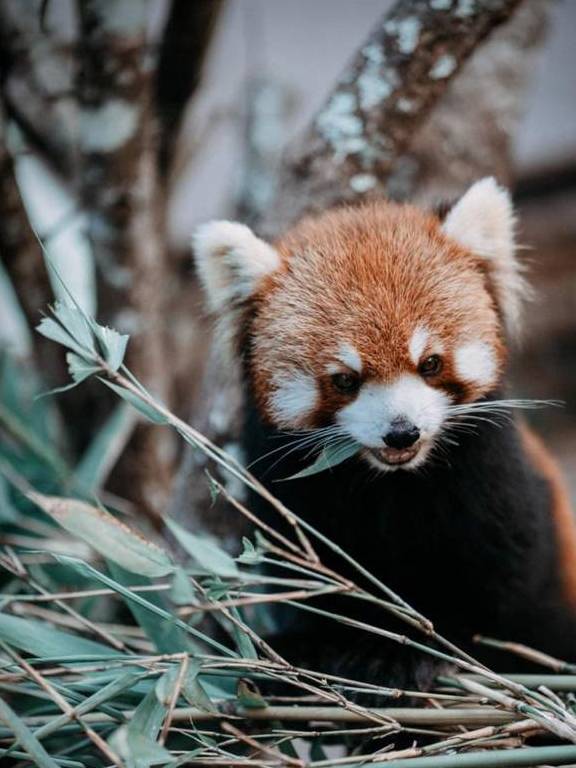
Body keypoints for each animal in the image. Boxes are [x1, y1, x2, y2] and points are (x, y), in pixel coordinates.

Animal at [192, 178, 576, 688]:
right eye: (344, 380)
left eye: (430, 363)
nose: (401, 433)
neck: (392, 485)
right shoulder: (295, 494)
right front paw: (311, 643)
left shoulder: (496, 485)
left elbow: (497, 593)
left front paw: (413, 651)